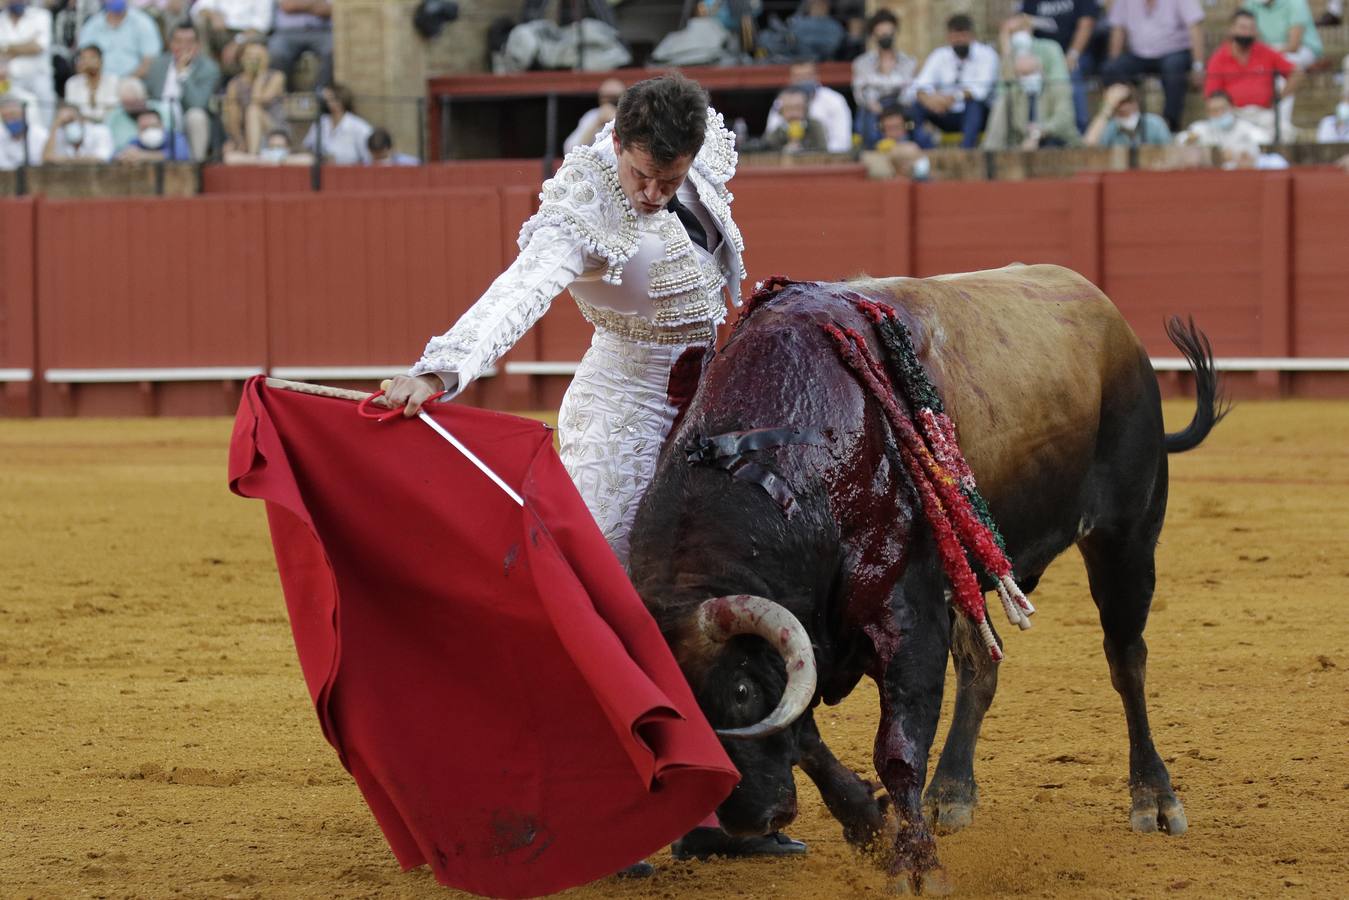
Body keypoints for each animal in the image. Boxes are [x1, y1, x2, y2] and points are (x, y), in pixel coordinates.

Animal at [625, 264, 1230, 890]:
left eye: (740, 691)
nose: (752, 819)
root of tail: (1113, 321)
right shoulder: (812, 633)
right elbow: (806, 736)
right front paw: (868, 824)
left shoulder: (907, 618)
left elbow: (896, 746)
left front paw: (916, 866)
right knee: (982, 666)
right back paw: (953, 792)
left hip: (1127, 538)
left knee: (1126, 659)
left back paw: (1154, 798)